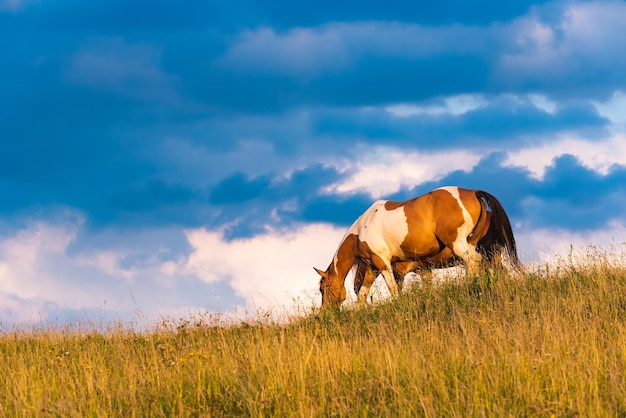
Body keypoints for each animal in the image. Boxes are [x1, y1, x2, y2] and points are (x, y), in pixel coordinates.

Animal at [312, 186, 516, 306]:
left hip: (463, 246)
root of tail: (472, 191)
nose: (326, 313)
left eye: (323, 289)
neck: (362, 230)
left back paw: (471, 287)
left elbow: (393, 289)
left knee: (473, 262)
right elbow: (362, 293)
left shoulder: (384, 264)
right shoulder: (372, 267)